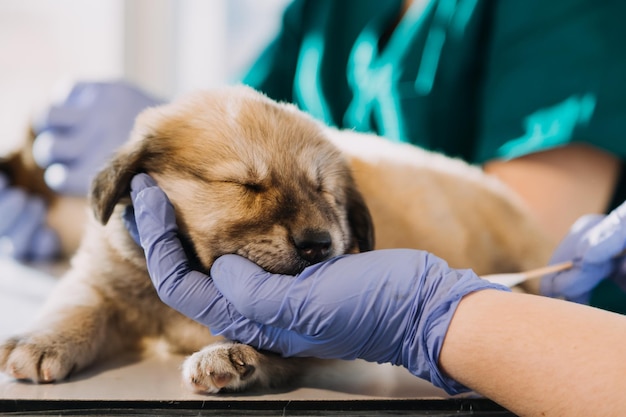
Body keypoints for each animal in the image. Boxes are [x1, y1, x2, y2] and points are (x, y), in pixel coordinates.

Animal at [0, 85, 548, 394]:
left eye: (323, 191)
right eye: (246, 184)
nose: (318, 245)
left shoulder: (323, 343)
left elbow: (277, 341)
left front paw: (231, 357)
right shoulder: (103, 279)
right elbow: (78, 307)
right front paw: (41, 341)